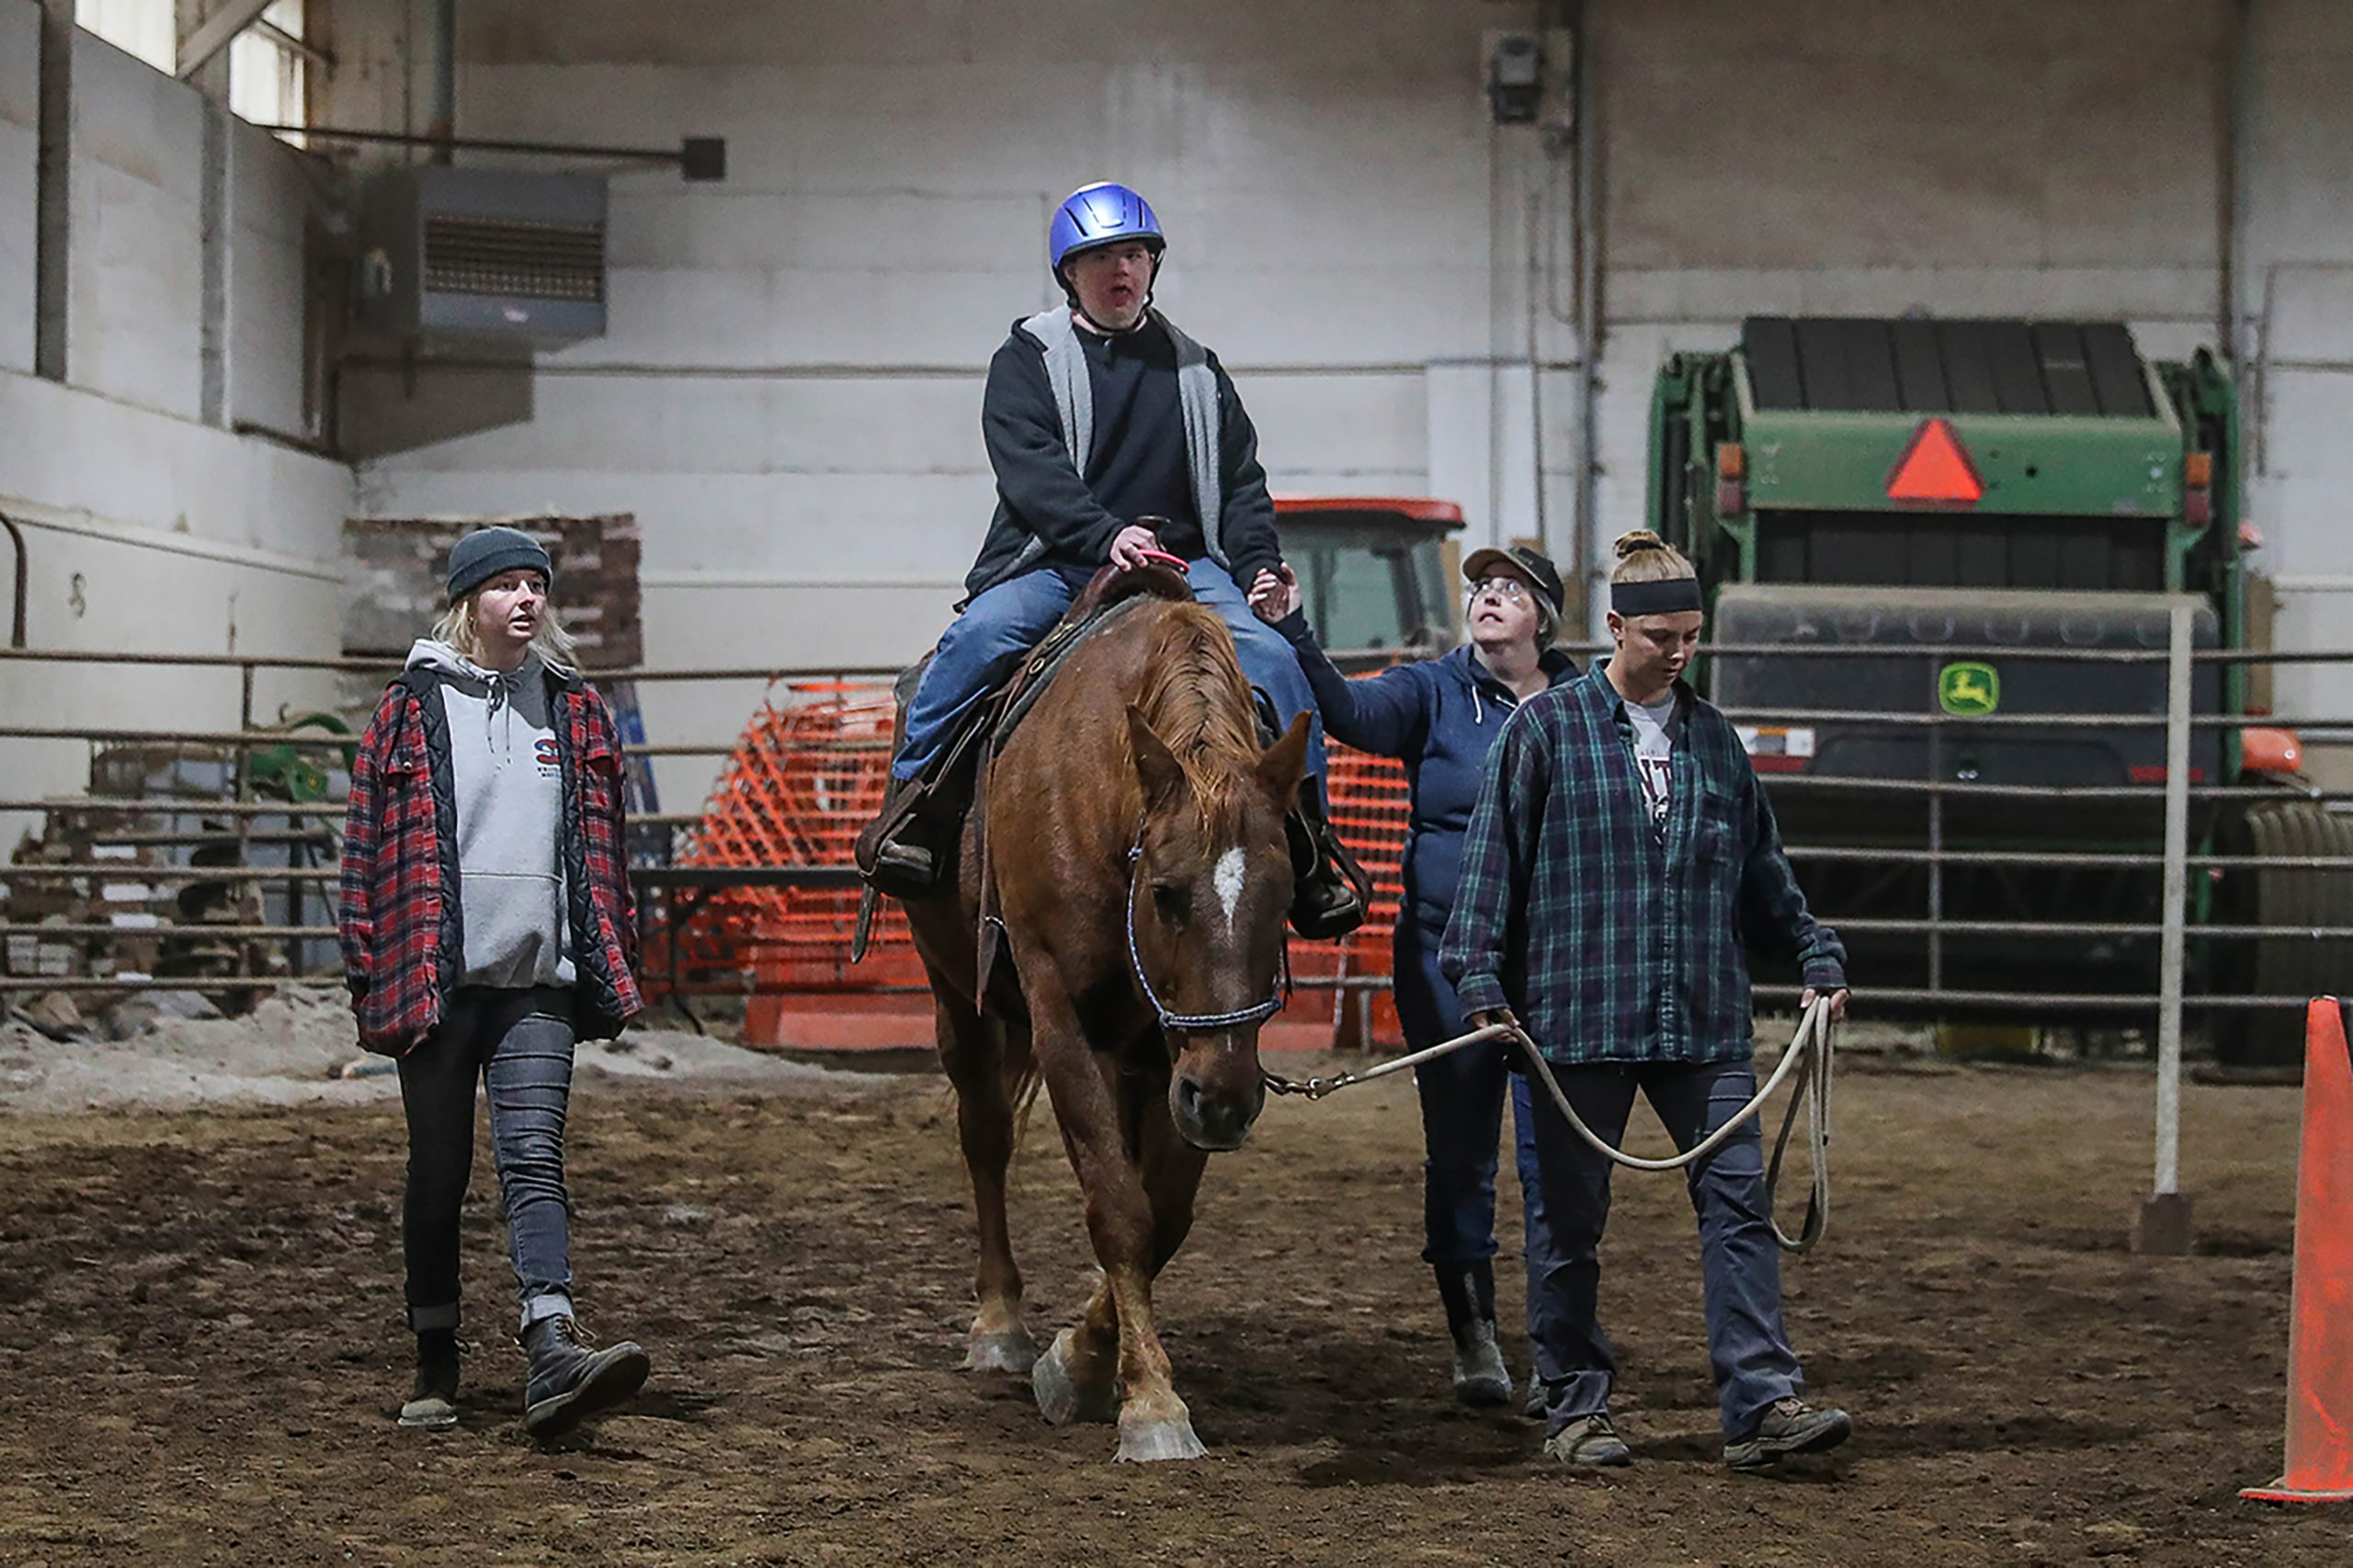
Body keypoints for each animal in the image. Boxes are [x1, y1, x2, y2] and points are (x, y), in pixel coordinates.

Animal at [893, 576, 1308, 1469]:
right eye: (1166, 892)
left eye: (1288, 893)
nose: (1226, 1101)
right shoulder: (1064, 1022)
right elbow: (1119, 1208)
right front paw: (1146, 1402)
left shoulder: (1171, 1052)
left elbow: (1163, 1215)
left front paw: (1089, 1360)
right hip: (957, 1000)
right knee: (985, 1139)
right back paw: (999, 1324)